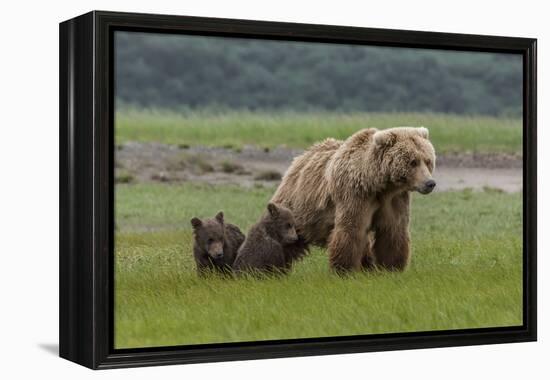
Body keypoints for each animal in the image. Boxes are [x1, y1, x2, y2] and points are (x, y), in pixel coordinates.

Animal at [270, 127, 436, 274]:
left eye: (428, 161)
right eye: (413, 162)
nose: (430, 183)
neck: (378, 184)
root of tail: (301, 157)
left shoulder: (394, 199)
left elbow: (393, 231)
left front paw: (392, 267)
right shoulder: (355, 195)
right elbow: (351, 230)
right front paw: (344, 269)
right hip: (300, 207)